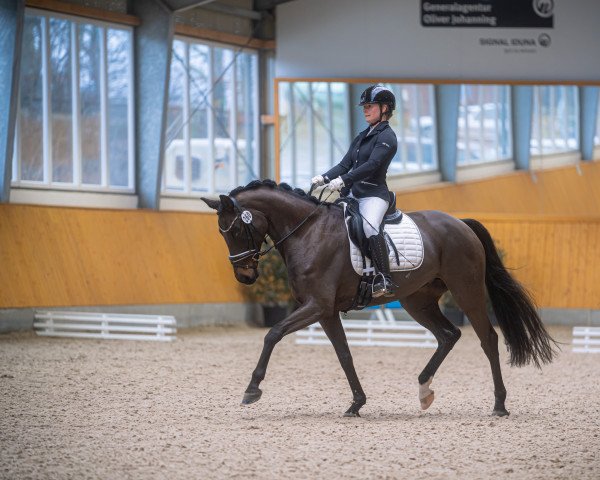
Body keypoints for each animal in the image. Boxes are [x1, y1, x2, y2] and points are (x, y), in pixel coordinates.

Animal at [203, 180, 556, 416]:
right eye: (221, 232)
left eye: (236, 230)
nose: (245, 276)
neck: (308, 232)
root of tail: (461, 224)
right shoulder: (325, 311)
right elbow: (344, 355)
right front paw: (356, 404)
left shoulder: (315, 306)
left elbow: (273, 333)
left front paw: (252, 390)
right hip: (418, 300)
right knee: (448, 334)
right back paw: (424, 390)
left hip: (466, 291)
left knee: (488, 339)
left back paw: (499, 404)